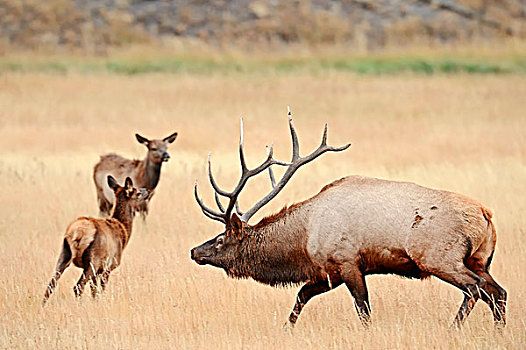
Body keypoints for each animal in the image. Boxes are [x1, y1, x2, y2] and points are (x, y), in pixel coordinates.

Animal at [42, 176, 151, 304]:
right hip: (93, 260)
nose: (147, 190)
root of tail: (77, 234)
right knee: (78, 287)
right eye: (137, 192)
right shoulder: (108, 266)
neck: (124, 232)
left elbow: (94, 291)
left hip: (64, 255)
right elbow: (101, 289)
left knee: (50, 285)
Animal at [192, 108, 510, 328]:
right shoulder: (327, 272)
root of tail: (486, 216)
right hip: (480, 259)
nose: (194, 251)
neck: (303, 240)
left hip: (440, 257)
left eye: (220, 239)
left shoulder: (347, 262)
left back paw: (453, 328)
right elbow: (301, 296)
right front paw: (285, 329)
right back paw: (499, 331)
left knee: (475, 289)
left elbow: (363, 308)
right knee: (499, 293)